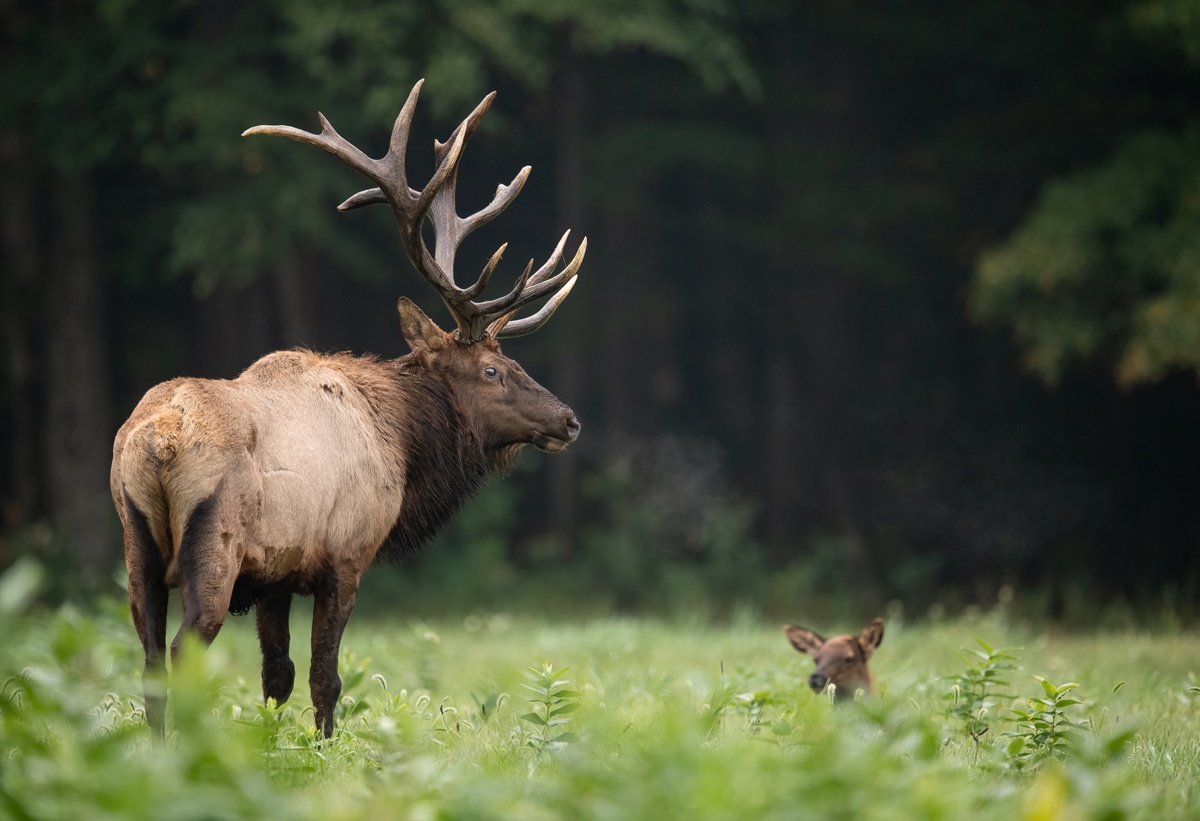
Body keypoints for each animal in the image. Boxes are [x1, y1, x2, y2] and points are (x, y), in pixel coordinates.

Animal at [110, 81, 588, 739]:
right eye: (493, 371)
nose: (568, 419)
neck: (401, 446)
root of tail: (159, 439)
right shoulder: (344, 556)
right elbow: (325, 676)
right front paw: (324, 747)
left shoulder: (276, 573)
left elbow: (276, 676)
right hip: (215, 546)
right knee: (183, 653)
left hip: (136, 543)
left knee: (151, 661)